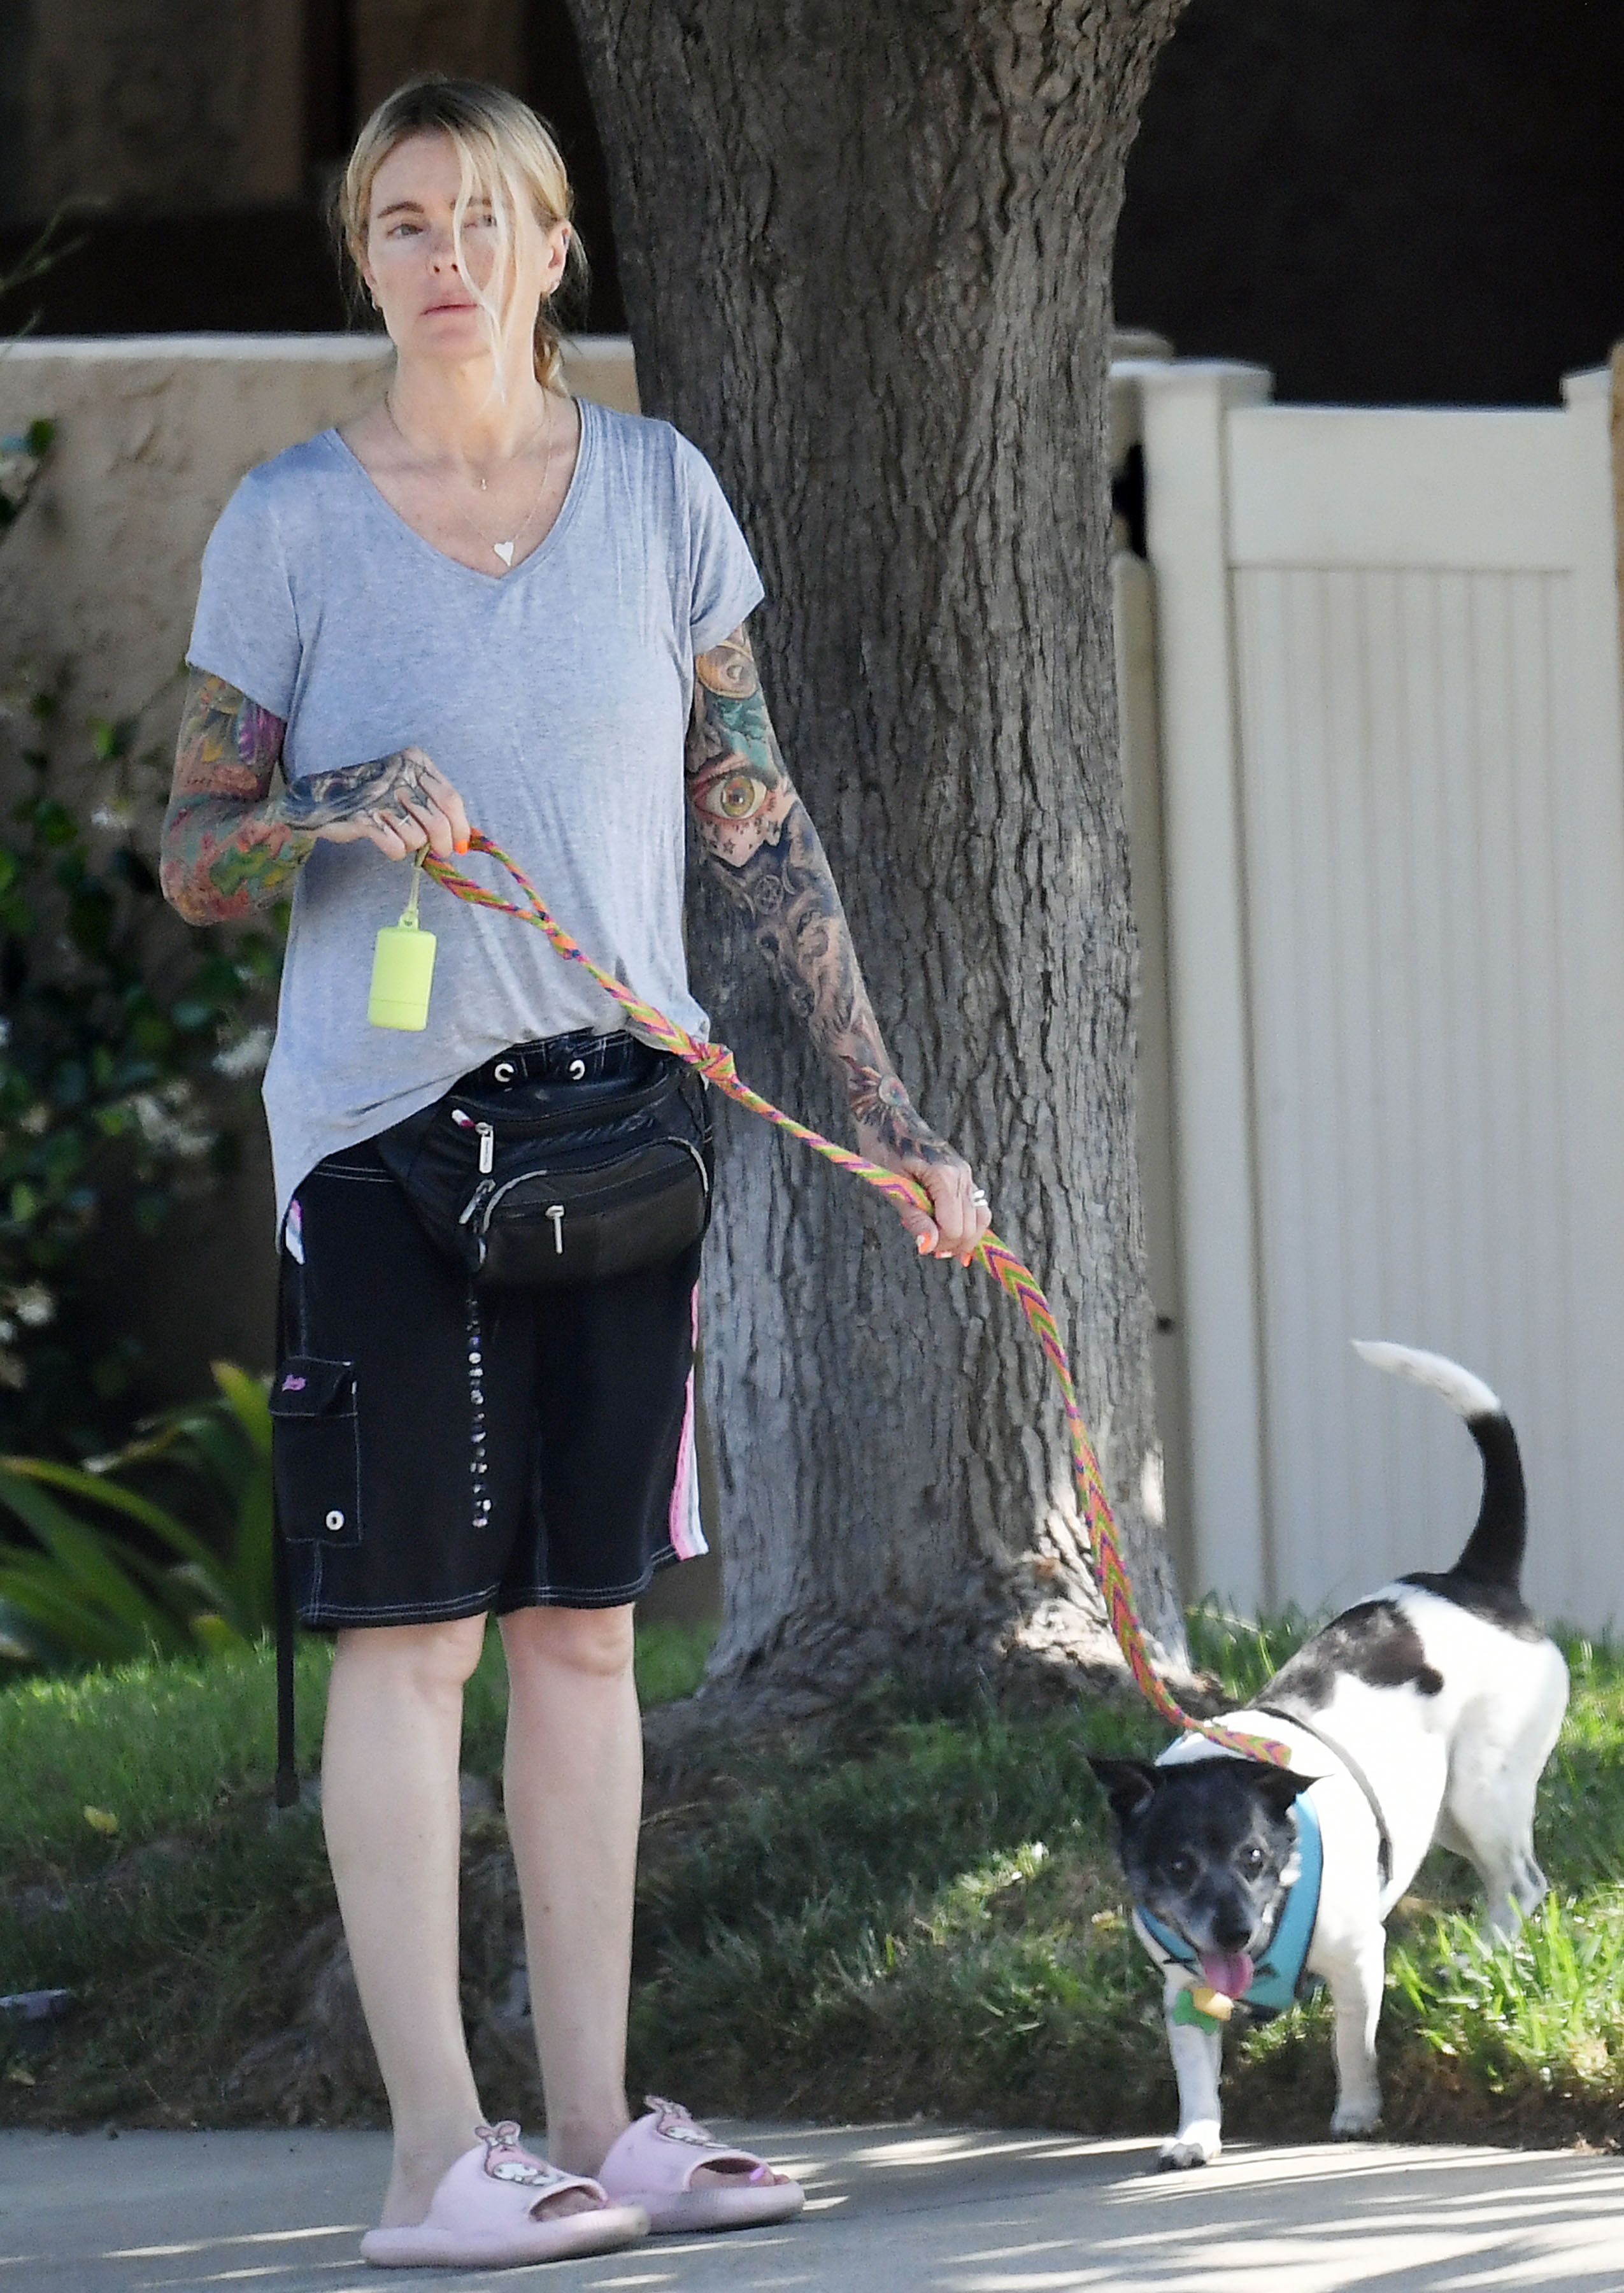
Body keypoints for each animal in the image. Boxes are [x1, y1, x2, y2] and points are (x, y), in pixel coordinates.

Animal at [1092, 1339, 1569, 2164]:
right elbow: (1196, 2070)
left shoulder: (1357, 1959)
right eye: (1177, 1867)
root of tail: (1476, 1582)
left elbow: (1354, 2043)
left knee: (1521, 1884)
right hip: (1442, 1811)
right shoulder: (1185, 1990)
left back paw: (1479, 1958)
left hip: (1485, 1791)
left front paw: (1356, 2112)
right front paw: (1195, 2136)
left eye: (1252, 1857)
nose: (1232, 1931)